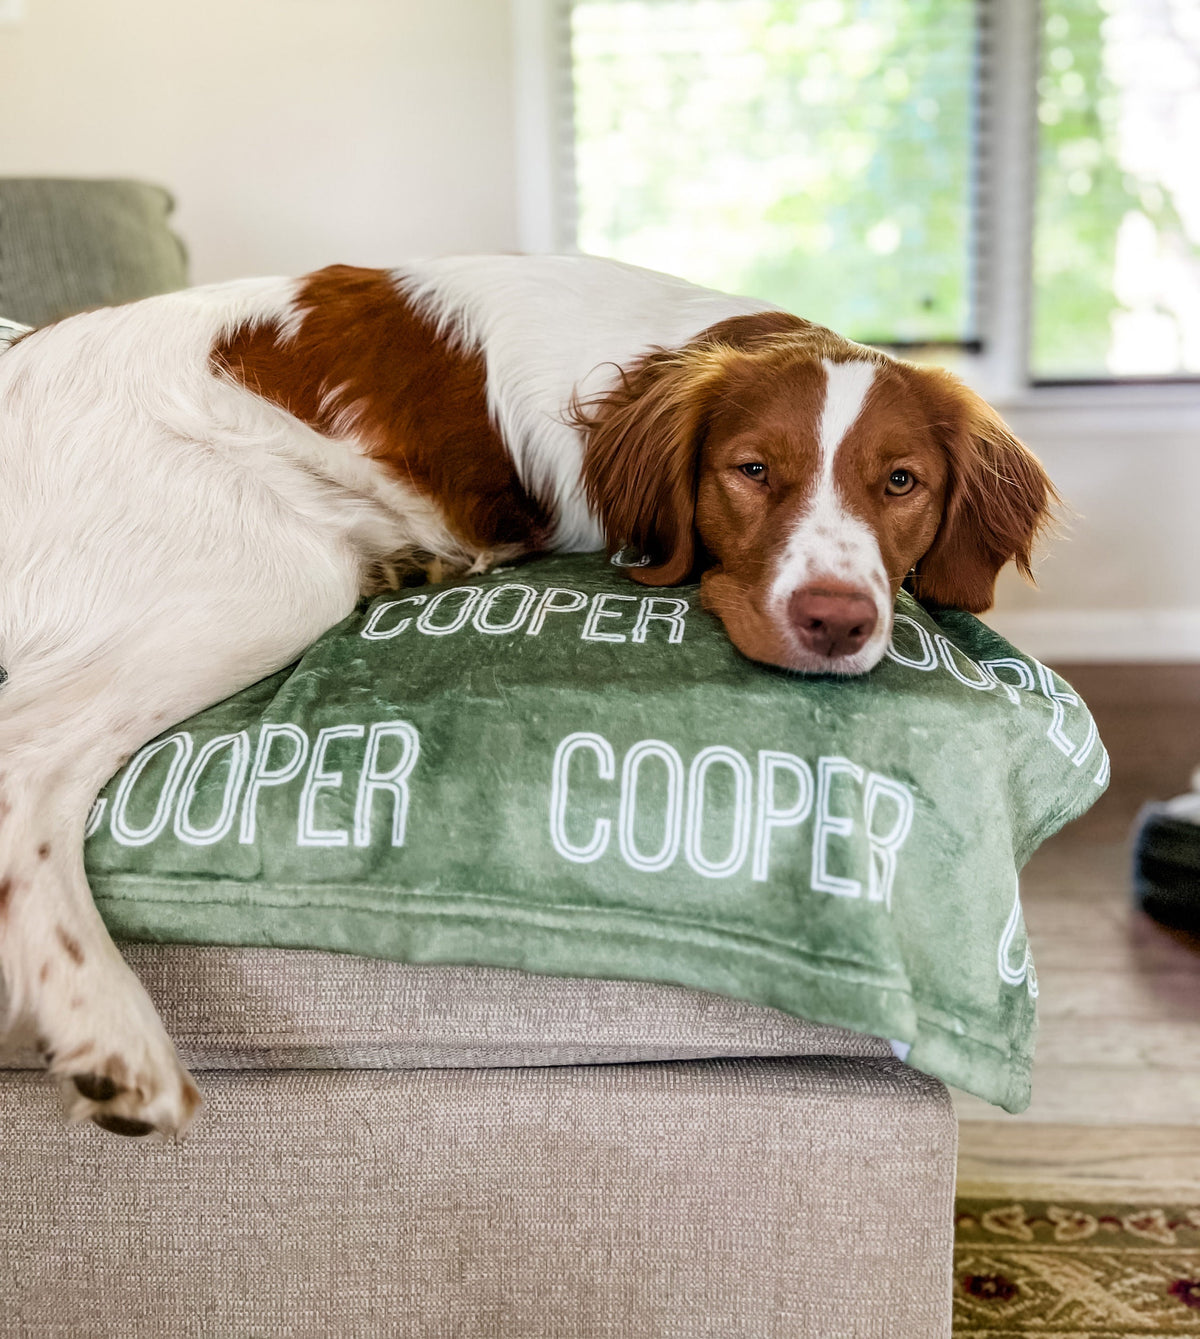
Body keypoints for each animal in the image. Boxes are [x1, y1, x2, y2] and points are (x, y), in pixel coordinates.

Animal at [0, 251, 1050, 1130]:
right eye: (752, 470)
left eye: (902, 482)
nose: (837, 621)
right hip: (268, 580)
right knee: (27, 764)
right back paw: (107, 1027)